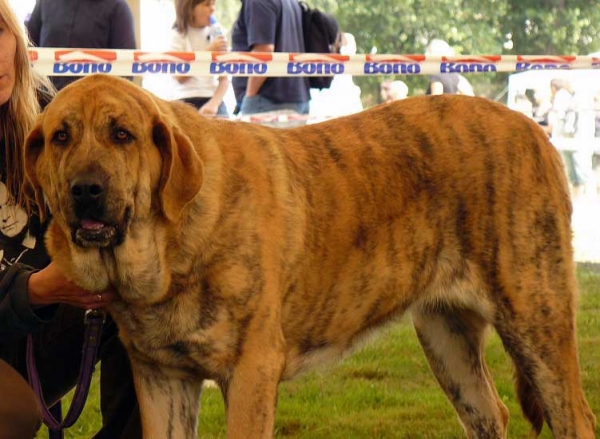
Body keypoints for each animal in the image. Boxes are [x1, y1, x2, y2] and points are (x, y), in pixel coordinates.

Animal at [24, 74, 596, 438]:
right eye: (60, 137)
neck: (171, 245)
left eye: (122, 134)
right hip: (446, 339)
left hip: (536, 323)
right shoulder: (162, 379)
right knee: (489, 413)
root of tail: (535, 130)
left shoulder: (251, 373)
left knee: (576, 418)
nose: (85, 190)